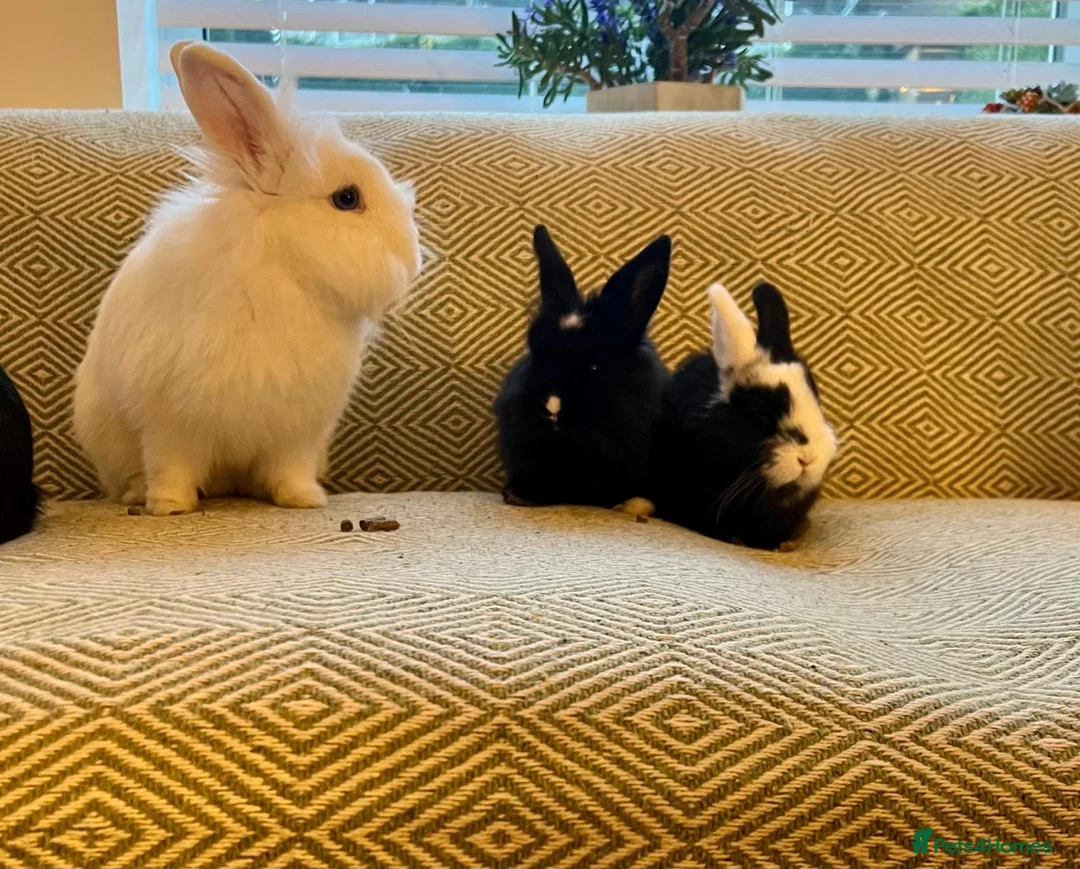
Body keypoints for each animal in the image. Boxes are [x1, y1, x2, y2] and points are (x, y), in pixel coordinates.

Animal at [74, 42, 421, 516]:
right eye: (347, 198)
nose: (413, 256)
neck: (282, 265)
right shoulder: (170, 422)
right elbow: (170, 466)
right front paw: (170, 507)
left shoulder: (298, 429)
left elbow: (290, 470)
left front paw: (304, 500)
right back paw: (138, 495)